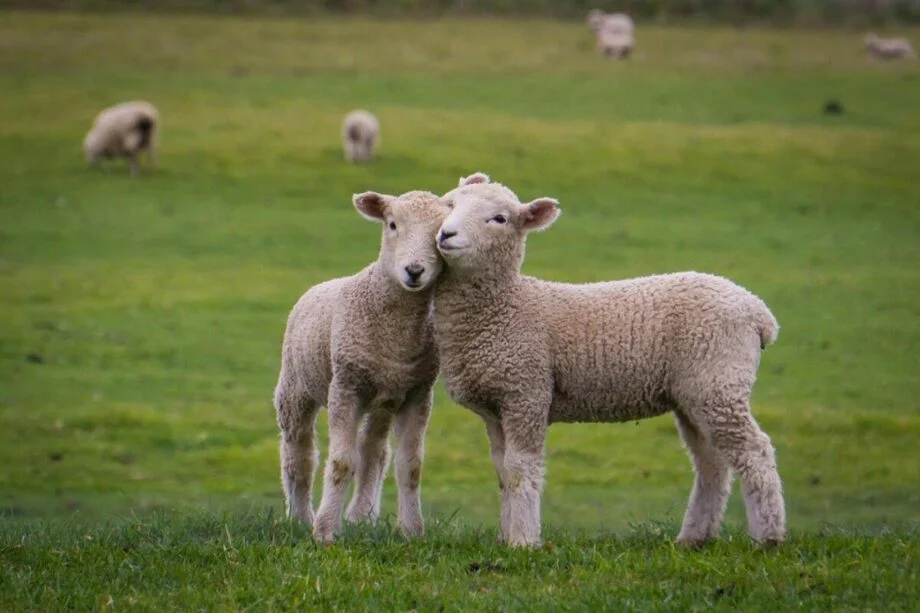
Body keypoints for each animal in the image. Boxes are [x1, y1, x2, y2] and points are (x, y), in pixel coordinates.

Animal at [270, 189, 450, 544]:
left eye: (440, 233)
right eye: (392, 224)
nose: (414, 270)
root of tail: (321, 285)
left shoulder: (418, 393)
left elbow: (410, 466)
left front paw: (412, 530)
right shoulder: (346, 387)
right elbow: (340, 462)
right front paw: (325, 531)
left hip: (382, 400)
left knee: (374, 452)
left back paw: (360, 517)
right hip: (296, 389)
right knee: (299, 454)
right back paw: (300, 517)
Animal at [432, 175, 784, 548]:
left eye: (499, 219)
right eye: (450, 204)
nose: (446, 234)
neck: (507, 306)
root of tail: (758, 311)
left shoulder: (526, 393)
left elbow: (520, 469)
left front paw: (524, 541)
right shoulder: (496, 406)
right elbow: (502, 471)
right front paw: (506, 536)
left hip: (718, 380)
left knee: (755, 452)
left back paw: (768, 537)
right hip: (695, 393)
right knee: (711, 462)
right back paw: (694, 538)